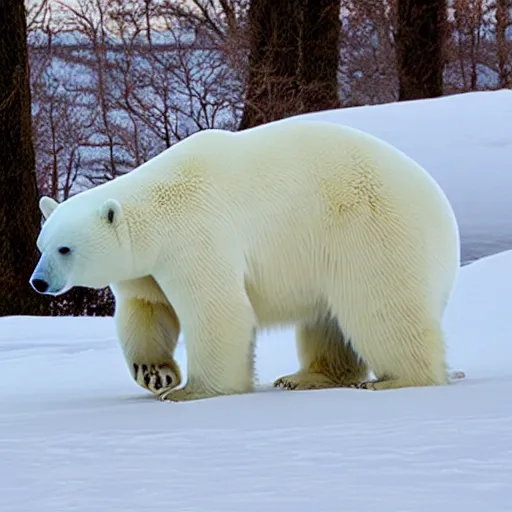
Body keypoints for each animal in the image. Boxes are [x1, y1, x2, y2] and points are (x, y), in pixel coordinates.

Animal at [29, 119, 460, 400]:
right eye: (41, 245)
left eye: (65, 248)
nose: (38, 281)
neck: (159, 208)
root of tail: (443, 210)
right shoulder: (147, 267)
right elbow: (148, 309)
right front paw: (157, 375)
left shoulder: (196, 236)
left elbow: (218, 309)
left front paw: (192, 392)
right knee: (326, 318)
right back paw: (305, 377)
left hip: (370, 231)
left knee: (380, 306)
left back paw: (395, 379)